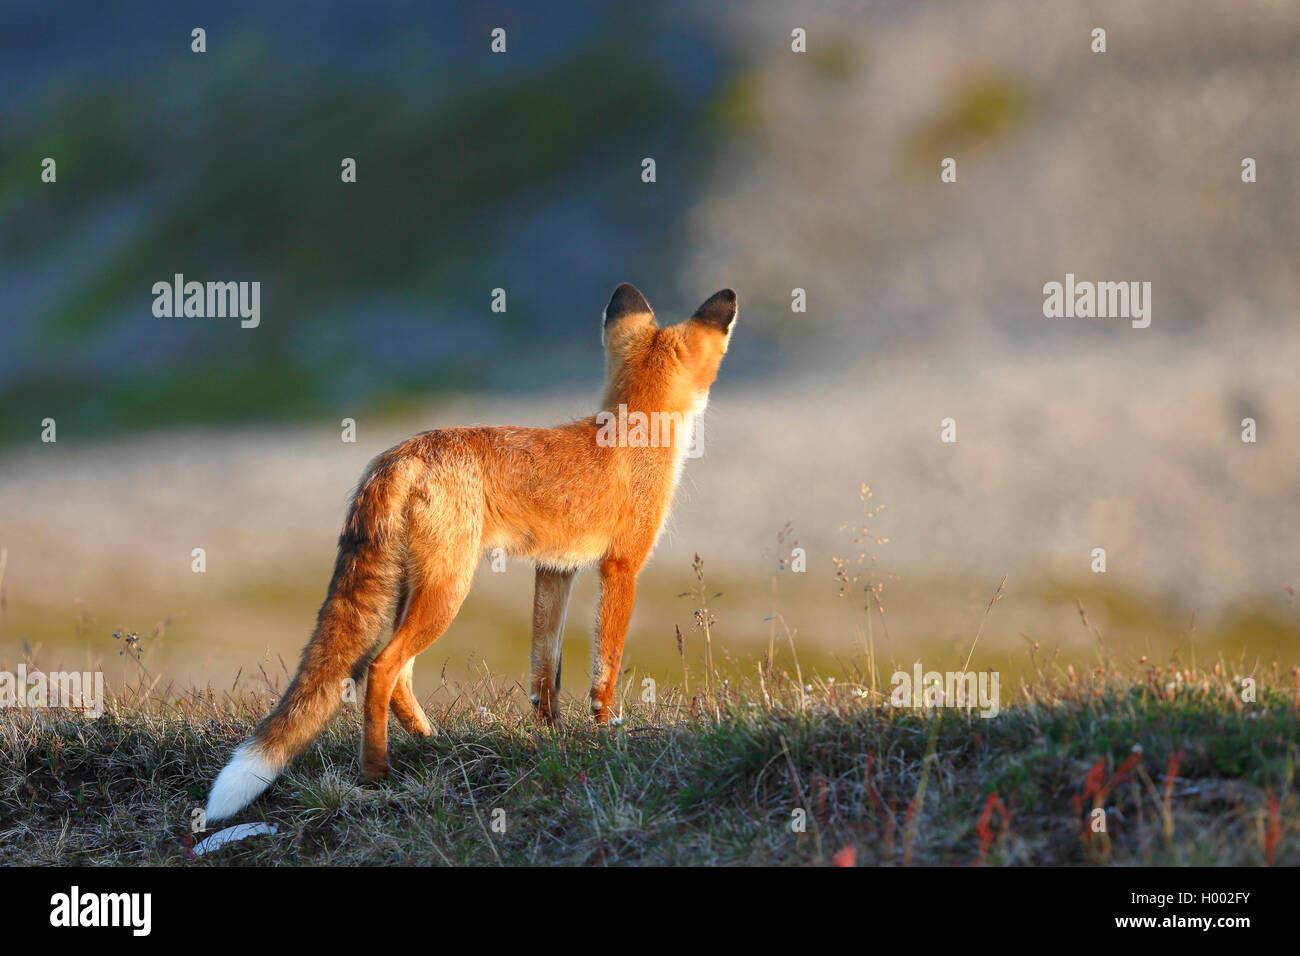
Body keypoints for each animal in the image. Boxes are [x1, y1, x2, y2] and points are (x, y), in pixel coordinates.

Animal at [201, 282, 733, 822]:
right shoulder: (622, 566)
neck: (632, 431)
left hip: (416, 589)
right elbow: (605, 665)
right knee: (381, 668)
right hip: (448, 591)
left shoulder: (554, 570)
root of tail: (399, 455)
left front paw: (550, 735)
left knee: (399, 678)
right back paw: (376, 770)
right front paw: (605, 731)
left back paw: (431, 741)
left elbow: (545, 670)